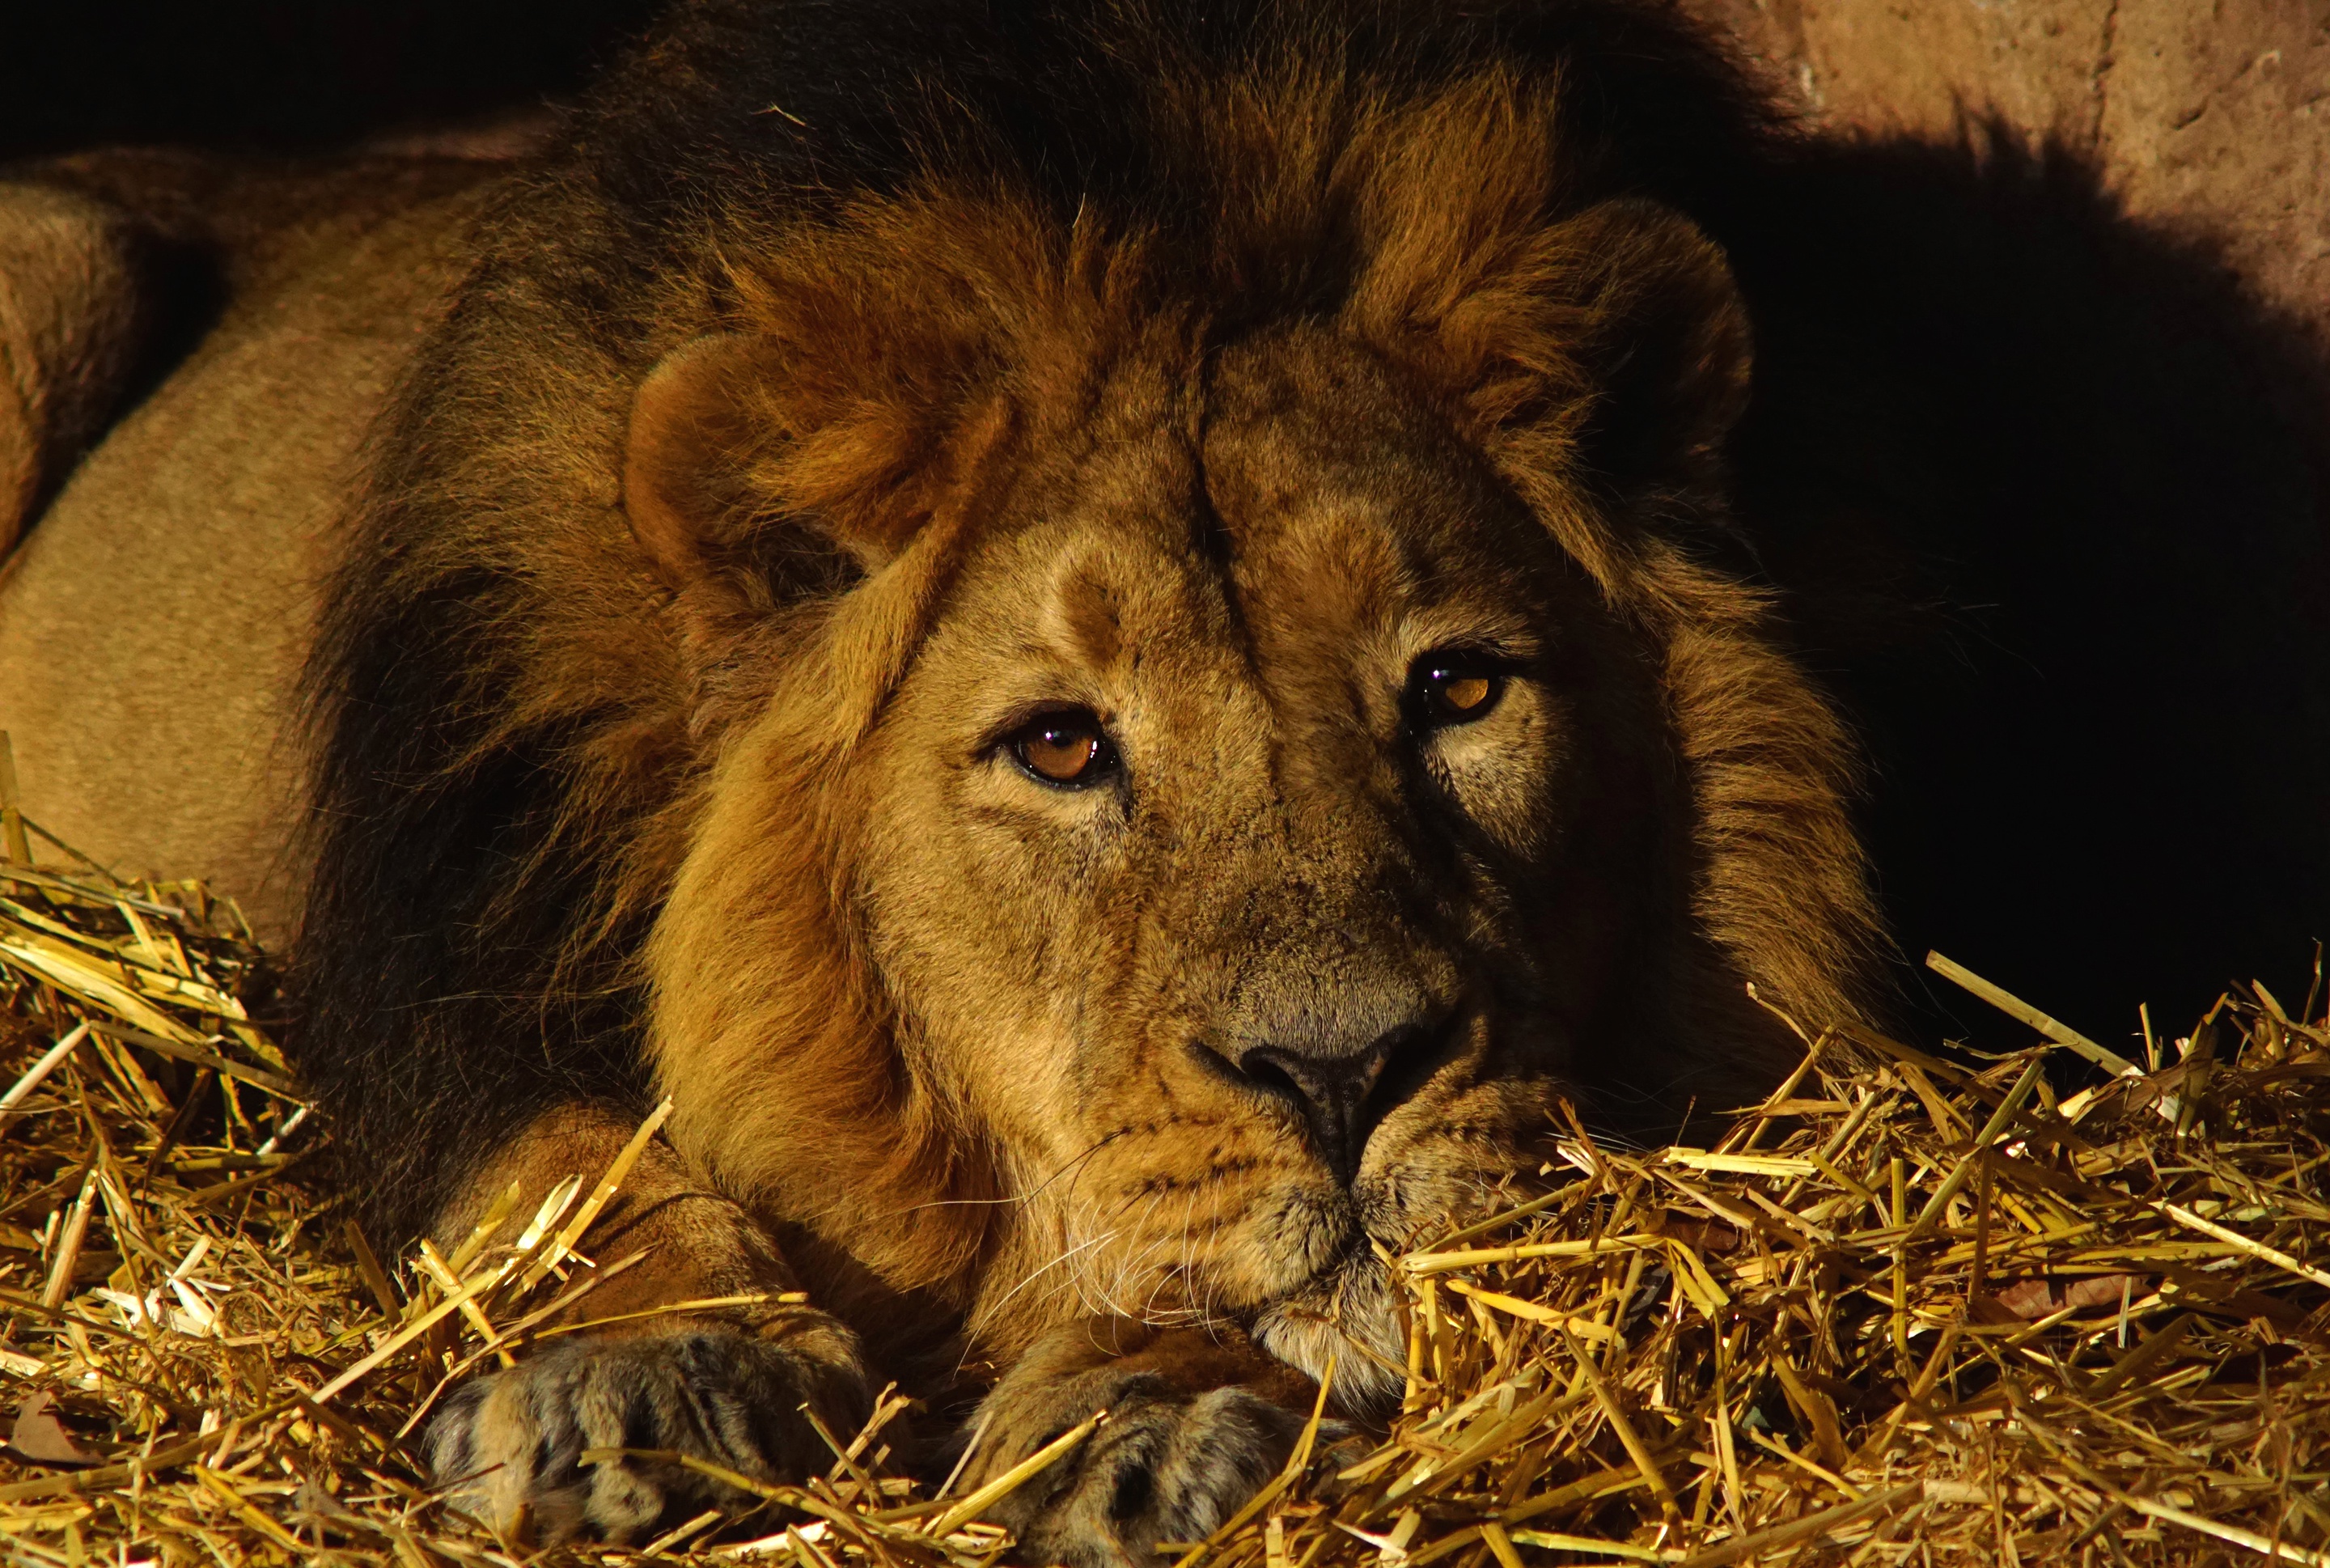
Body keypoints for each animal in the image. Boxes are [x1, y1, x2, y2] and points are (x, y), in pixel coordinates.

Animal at [0, 0, 1883, 1556]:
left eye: (1459, 689)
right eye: (1060, 743)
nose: (1345, 1073)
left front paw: (1158, 1409)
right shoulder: (440, 948)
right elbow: (563, 1161)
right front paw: (640, 1384)